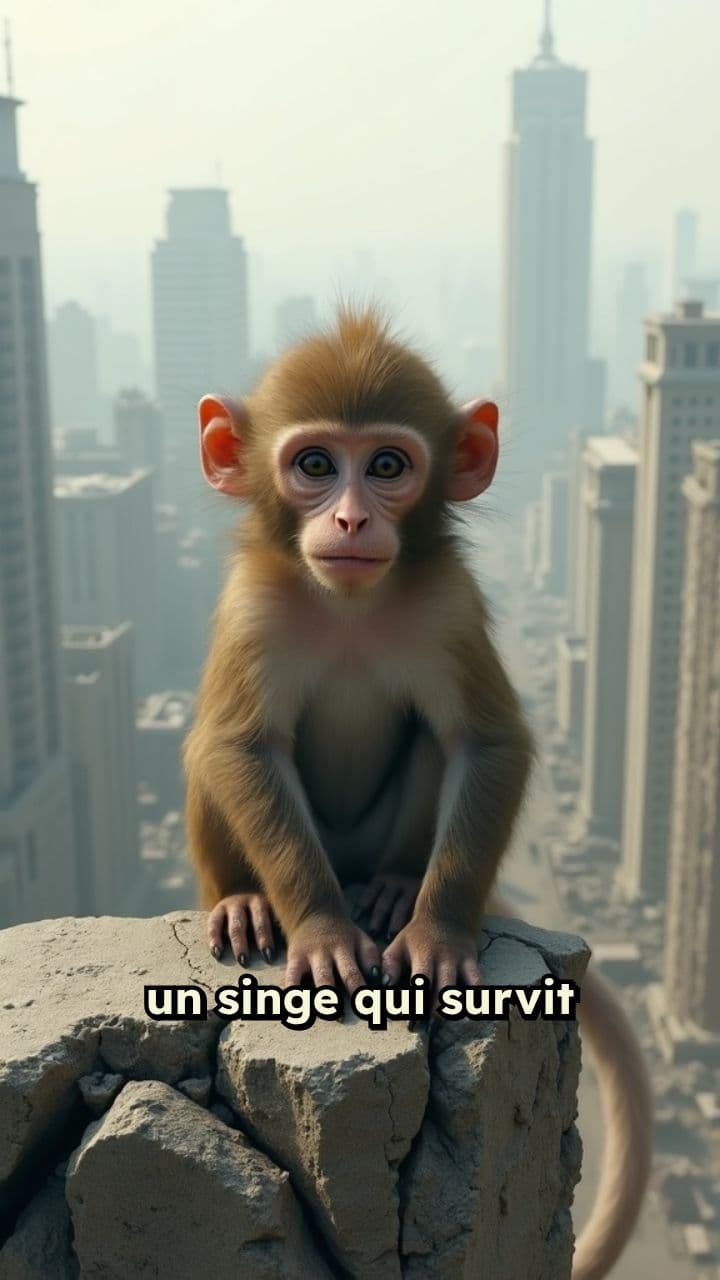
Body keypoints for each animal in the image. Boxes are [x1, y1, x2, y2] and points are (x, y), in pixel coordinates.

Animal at [183, 306, 652, 1280]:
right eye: (315, 464)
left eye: (389, 466)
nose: (353, 515)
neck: (349, 603)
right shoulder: (255, 606)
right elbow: (241, 746)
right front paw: (321, 931)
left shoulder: (448, 603)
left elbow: (486, 741)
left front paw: (436, 933)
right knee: (209, 751)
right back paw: (244, 900)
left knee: (434, 743)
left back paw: (397, 886)